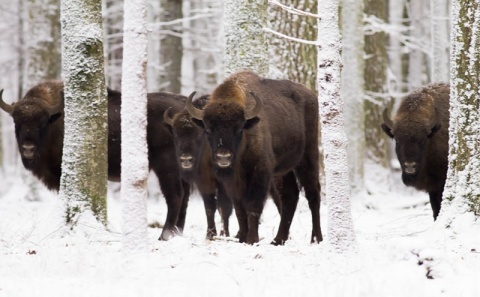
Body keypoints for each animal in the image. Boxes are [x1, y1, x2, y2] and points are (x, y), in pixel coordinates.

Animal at [0, 80, 191, 238]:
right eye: (17, 122)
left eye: (42, 122)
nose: (28, 149)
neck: (56, 120)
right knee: (185, 197)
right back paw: (177, 234)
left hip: (167, 166)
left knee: (175, 196)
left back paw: (164, 236)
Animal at [163, 95, 234, 238]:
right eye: (176, 135)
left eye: (198, 134)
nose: (186, 159)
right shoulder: (203, 182)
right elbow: (209, 207)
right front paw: (210, 234)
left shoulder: (223, 183)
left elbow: (224, 207)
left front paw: (224, 234)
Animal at [184, 70, 322, 244]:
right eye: (208, 129)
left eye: (239, 129)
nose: (224, 157)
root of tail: (311, 95)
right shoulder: (232, 182)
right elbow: (239, 209)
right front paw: (242, 237)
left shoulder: (259, 174)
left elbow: (253, 206)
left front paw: (252, 239)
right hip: (284, 170)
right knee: (290, 196)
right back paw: (278, 240)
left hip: (307, 158)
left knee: (313, 193)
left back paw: (316, 238)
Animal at [378, 82, 450, 219]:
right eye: (397, 140)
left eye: (422, 140)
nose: (410, 166)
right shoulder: (433, 188)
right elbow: (435, 209)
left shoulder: (440, 184)